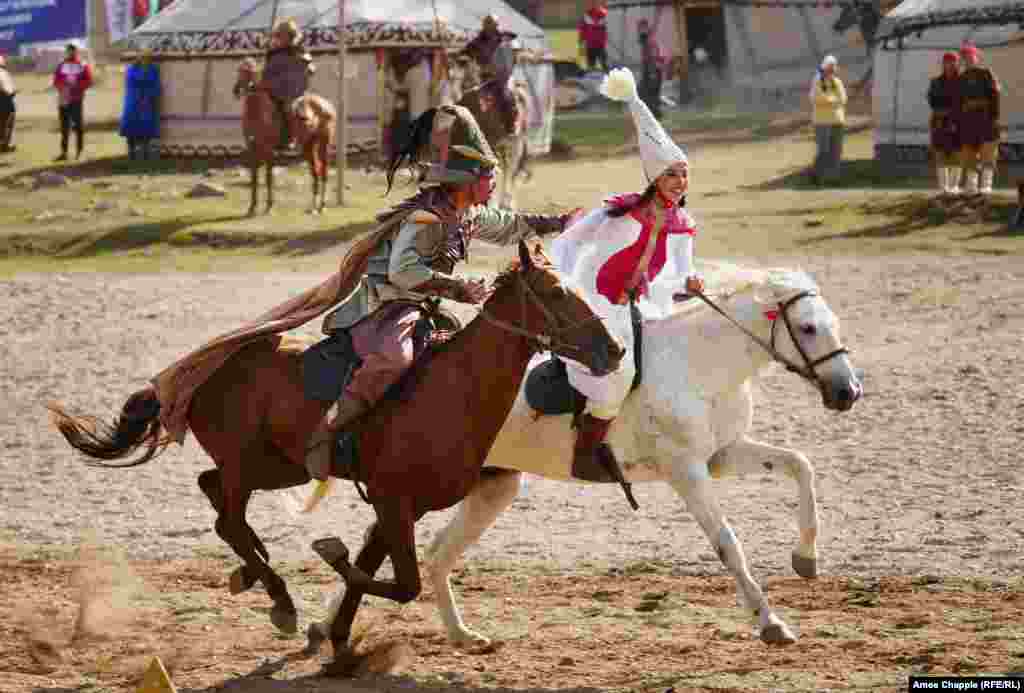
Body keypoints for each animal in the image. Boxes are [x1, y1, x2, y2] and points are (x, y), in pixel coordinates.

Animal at [49, 240, 622, 671]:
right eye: (555, 293)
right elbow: (400, 581)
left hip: (281, 466)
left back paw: (255, 575)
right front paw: (329, 568)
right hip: (248, 464)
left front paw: (339, 639)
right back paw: (277, 596)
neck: (451, 391)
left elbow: (376, 570)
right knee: (227, 517)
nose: (613, 350)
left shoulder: (403, 506)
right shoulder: (393, 500)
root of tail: (204, 370)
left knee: (214, 494)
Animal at [232, 60, 335, 214]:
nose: (236, 91)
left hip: (323, 144)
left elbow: (268, 177)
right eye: (239, 70)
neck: (258, 112)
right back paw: (313, 207)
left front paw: (269, 206)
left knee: (323, 171)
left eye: (250, 72)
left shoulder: (269, 150)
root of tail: (327, 105)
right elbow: (254, 177)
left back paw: (321, 206)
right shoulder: (252, 149)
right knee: (316, 171)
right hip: (309, 145)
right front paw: (252, 207)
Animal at [307, 262, 860, 651]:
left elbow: (800, 465)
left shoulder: (721, 456)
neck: (700, 364)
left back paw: (444, 633)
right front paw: (770, 622)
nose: (847, 392)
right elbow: (729, 545)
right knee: (386, 544)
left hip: (492, 486)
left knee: (430, 550)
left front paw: (806, 557)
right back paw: (332, 625)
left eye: (832, 324)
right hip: (429, 487)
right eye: (808, 329)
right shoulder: (686, 472)